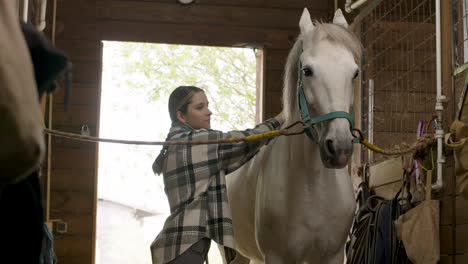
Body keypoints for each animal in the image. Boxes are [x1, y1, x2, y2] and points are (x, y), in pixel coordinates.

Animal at [226, 8, 362, 264]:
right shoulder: (277, 256)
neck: (313, 187)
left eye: (355, 73)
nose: (339, 148)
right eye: (307, 71)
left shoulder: (333, 255)